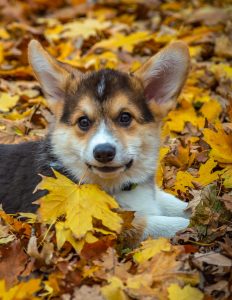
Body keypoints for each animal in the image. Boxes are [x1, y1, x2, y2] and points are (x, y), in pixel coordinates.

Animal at [0, 39, 190, 243]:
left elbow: (176, 203)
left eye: (125, 117)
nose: (103, 153)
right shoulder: (104, 225)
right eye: (83, 122)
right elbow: (163, 224)